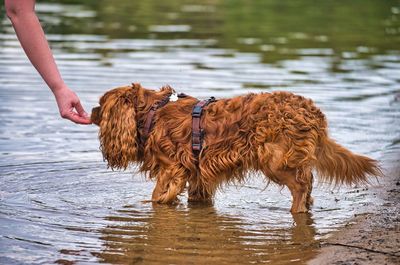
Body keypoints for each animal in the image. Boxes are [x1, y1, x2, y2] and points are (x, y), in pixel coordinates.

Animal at [90, 83, 382, 211]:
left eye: (101, 104)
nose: (91, 111)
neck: (154, 111)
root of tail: (313, 112)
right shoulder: (198, 172)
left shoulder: (172, 168)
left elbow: (157, 196)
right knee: (307, 181)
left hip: (274, 160)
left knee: (301, 185)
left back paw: (296, 210)